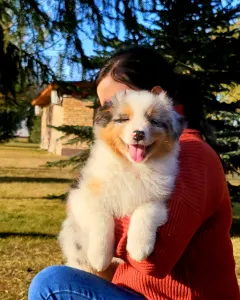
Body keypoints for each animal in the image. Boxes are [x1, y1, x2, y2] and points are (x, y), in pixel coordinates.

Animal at [58, 89, 184, 278]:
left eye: (154, 121)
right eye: (124, 119)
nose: (138, 134)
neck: (132, 166)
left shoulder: (159, 200)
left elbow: (145, 210)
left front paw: (139, 247)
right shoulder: (81, 196)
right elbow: (102, 217)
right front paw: (99, 256)